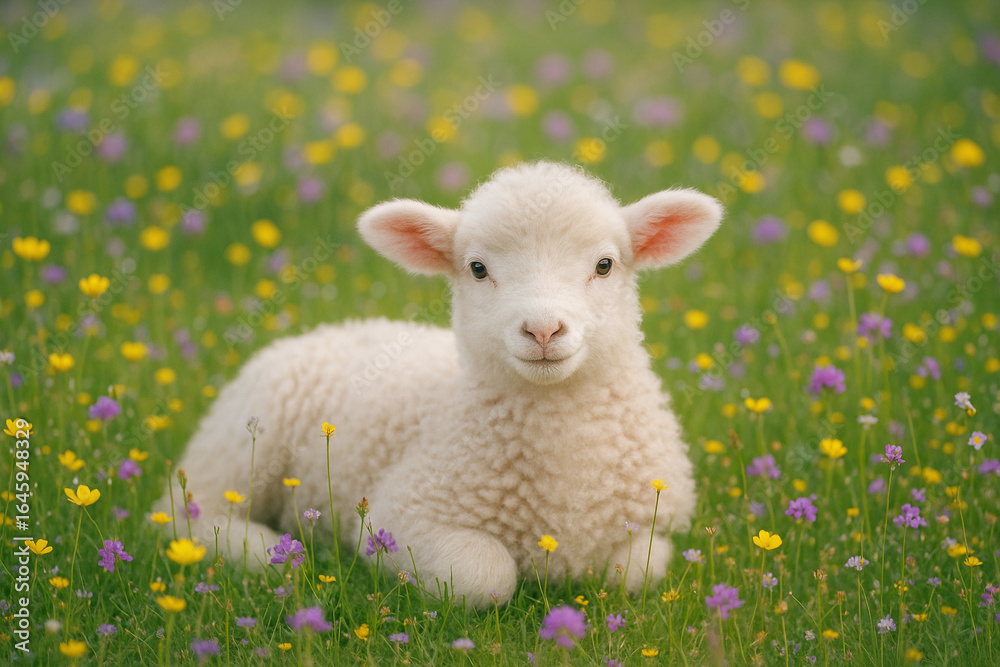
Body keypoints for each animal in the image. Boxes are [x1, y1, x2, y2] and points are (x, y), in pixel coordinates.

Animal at [157, 160, 723, 608]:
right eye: (477, 268)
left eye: (604, 265)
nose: (543, 330)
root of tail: (317, 332)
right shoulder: (401, 515)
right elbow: (485, 573)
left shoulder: (649, 524)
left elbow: (636, 572)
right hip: (238, 449)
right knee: (182, 515)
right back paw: (262, 549)